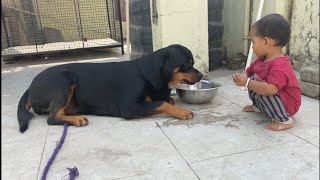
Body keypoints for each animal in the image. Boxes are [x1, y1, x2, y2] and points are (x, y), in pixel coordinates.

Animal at [16, 44, 202, 133]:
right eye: (187, 63)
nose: (200, 75)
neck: (150, 73)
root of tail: (30, 86)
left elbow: (167, 100)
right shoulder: (129, 107)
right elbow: (163, 103)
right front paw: (182, 112)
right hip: (63, 80)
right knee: (52, 117)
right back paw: (76, 119)